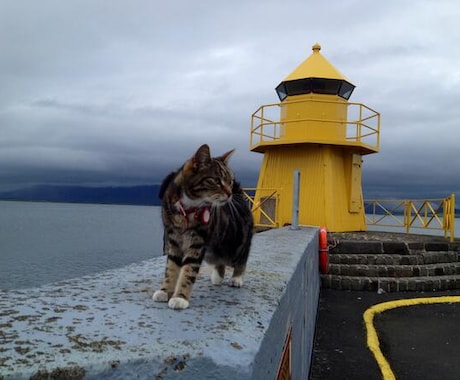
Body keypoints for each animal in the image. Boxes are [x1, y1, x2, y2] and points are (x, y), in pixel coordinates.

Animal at [154, 145, 255, 308]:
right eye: (216, 181)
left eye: (230, 181)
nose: (229, 193)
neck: (188, 209)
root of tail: (239, 197)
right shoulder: (173, 240)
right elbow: (171, 268)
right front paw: (165, 291)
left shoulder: (197, 242)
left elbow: (188, 270)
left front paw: (180, 297)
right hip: (212, 252)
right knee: (219, 262)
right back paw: (217, 278)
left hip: (237, 244)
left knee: (241, 258)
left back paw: (237, 278)